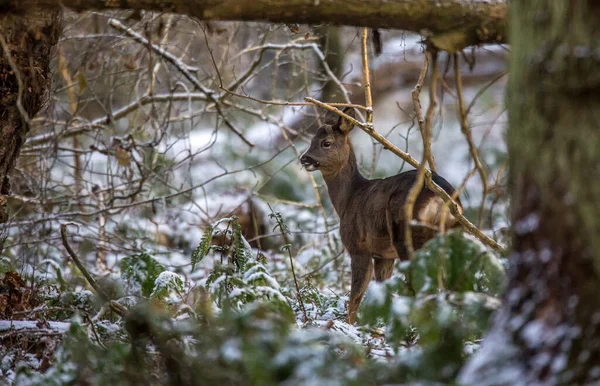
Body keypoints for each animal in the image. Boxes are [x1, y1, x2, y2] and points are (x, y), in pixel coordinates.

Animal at [300, 107, 464, 324]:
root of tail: (442, 198)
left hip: (408, 235)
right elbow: (381, 291)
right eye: (311, 140)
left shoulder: (358, 247)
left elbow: (356, 295)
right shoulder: (383, 255)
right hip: (451, 234)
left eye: (326, 142)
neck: (348, 199)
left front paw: (350, 326)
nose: (304, 159)